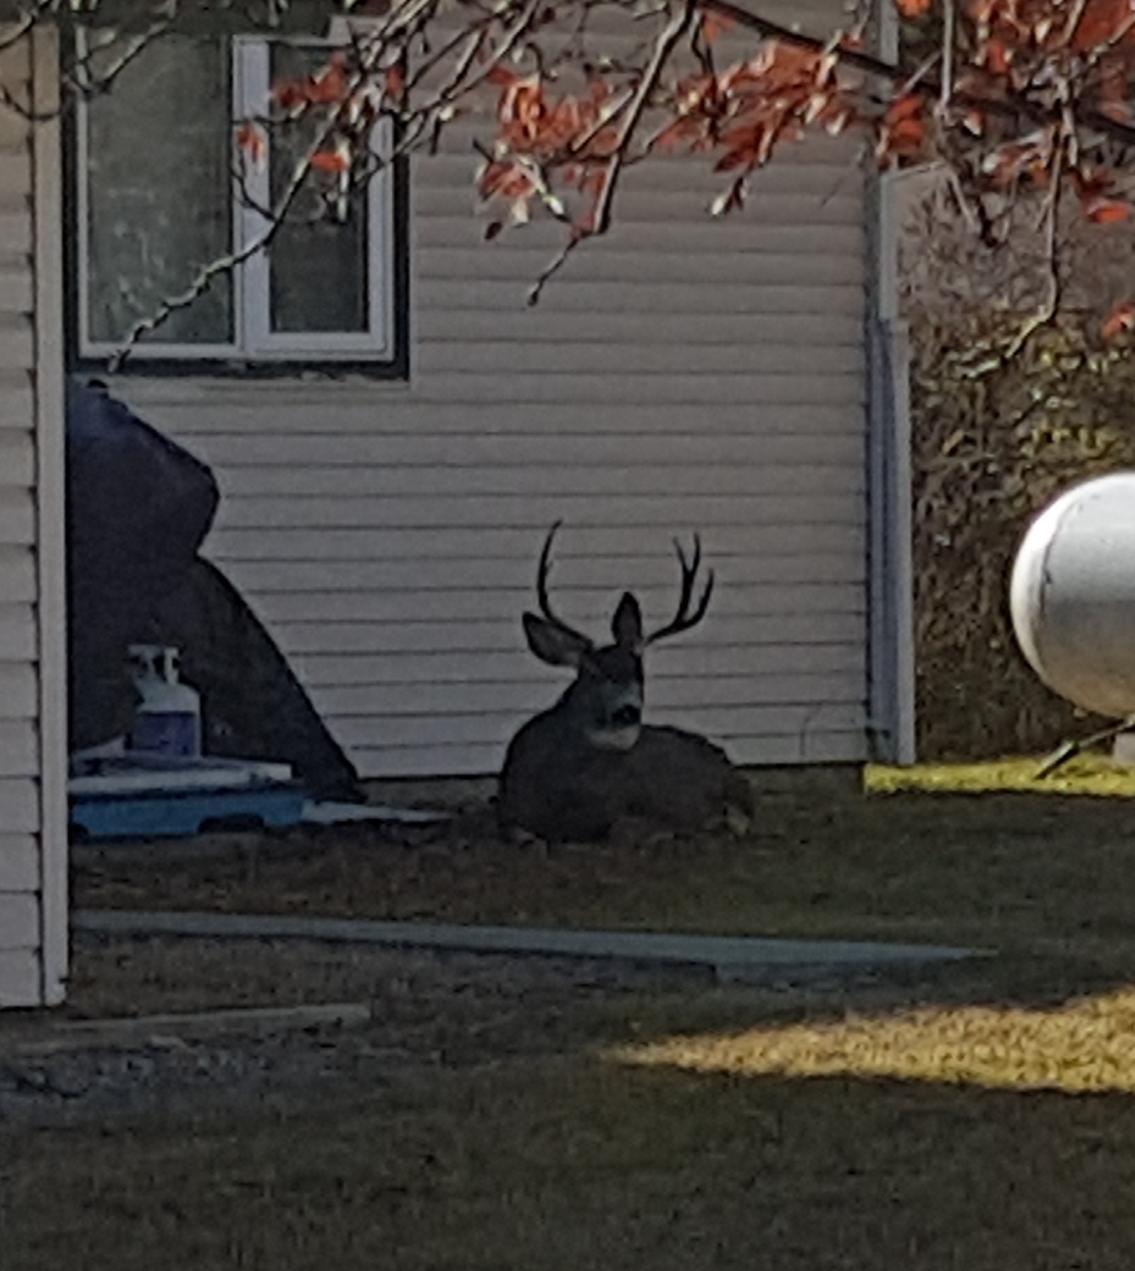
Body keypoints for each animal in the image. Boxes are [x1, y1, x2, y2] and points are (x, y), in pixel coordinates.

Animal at [497, 523, 753, 843]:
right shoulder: (509, 814)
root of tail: (731, 773)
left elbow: (626, 828)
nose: (628, 711)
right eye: (593, 672)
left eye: (638, 673)